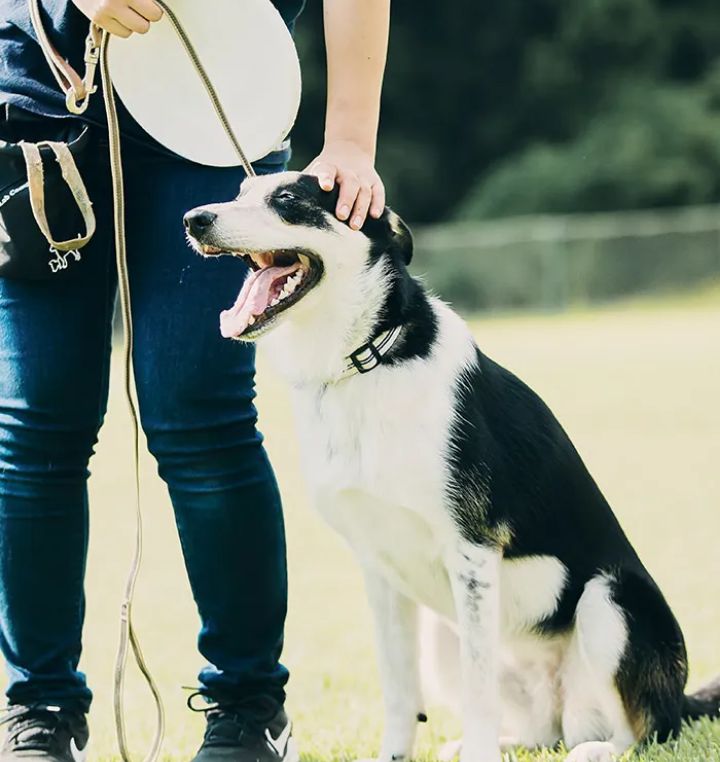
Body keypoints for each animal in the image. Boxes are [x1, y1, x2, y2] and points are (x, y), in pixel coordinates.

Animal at [186, 172, 720, 760]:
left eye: (287, 201)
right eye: (239, 194)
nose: (194, 219)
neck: (366, 362)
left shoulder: (472, 554)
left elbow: (477, 687)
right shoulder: (379, 570)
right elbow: (399, 689)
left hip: (610, 601)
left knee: (646, 728)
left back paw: (593, 749)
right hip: (446, 635)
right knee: (545, 731)